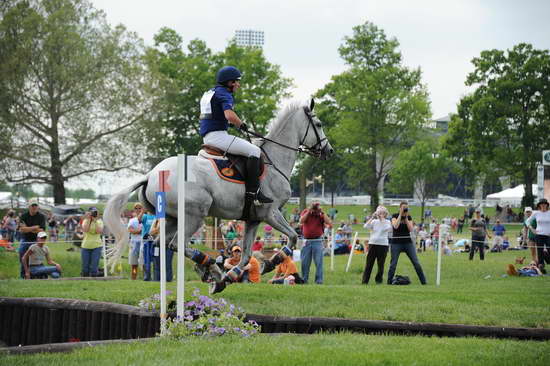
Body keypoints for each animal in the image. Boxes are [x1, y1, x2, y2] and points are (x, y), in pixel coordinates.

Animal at [105, 98, 334, 294]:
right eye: (319, 124)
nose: (329, 151)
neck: (274, 163)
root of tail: (150, 175)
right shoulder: (271, 213)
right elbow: (294, 237)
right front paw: (269, 263)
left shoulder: (253, 219)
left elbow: (246, 255)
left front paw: (231, 276)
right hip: (195, 215)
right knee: (176, 244)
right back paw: (211, 267)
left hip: (172, 218)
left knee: (161, 243)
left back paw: (210, 271)